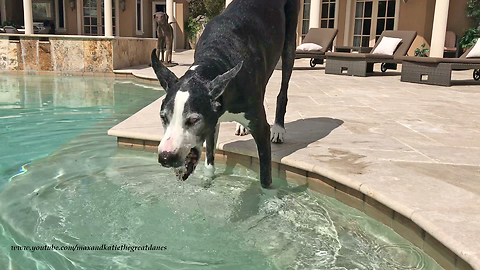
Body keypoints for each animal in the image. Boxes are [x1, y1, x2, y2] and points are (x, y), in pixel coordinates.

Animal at [152, 0, 298, 188]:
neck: (215, 59)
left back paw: (278, 128)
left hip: (289, 44)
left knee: (283, 89)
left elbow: (265, 178)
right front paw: (207, 180)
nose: (165, 157)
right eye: (163, 117)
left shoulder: (261, 130)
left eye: (193, 120)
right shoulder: (212, 122)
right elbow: (209, 159)